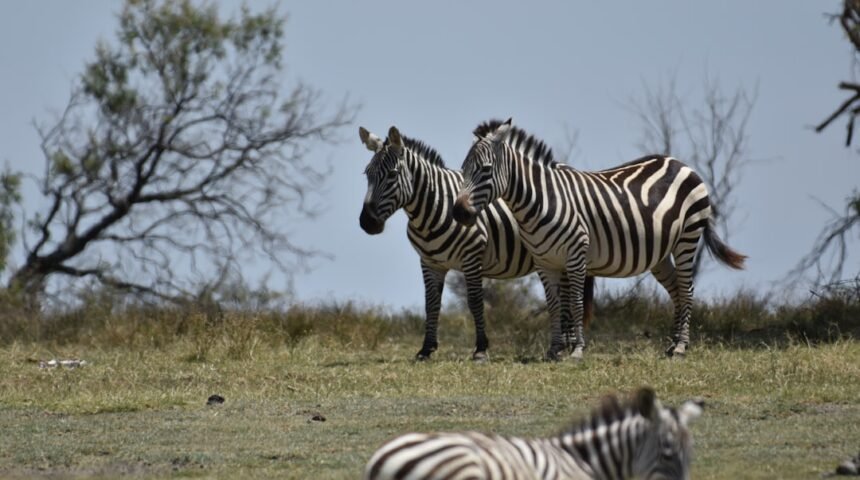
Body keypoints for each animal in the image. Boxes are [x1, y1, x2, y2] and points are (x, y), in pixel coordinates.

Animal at [359, 125, 594, 360]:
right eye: (366, 174)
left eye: (392, 174)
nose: (366, 223)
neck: (432, 209)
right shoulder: (429, 262)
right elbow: (431, 304)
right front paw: (426, 349)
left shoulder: (471, 256)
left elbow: (474, 301)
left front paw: (481, 348)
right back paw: (565, 344)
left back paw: (570, 345)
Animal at [453, 118, 746, 359]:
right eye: (463, 169)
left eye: (486, 169)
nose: (458, 212)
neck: (541, 201)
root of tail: (680, 163)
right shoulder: (545, 263)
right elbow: (554, 305)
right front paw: (554, 350)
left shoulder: (575, 255)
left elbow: (575, 303)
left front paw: (577, 350)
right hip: (661, 255)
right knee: (676, 290)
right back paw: (673, 344)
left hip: (688, 236)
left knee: (686, 289)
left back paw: (682, 347)